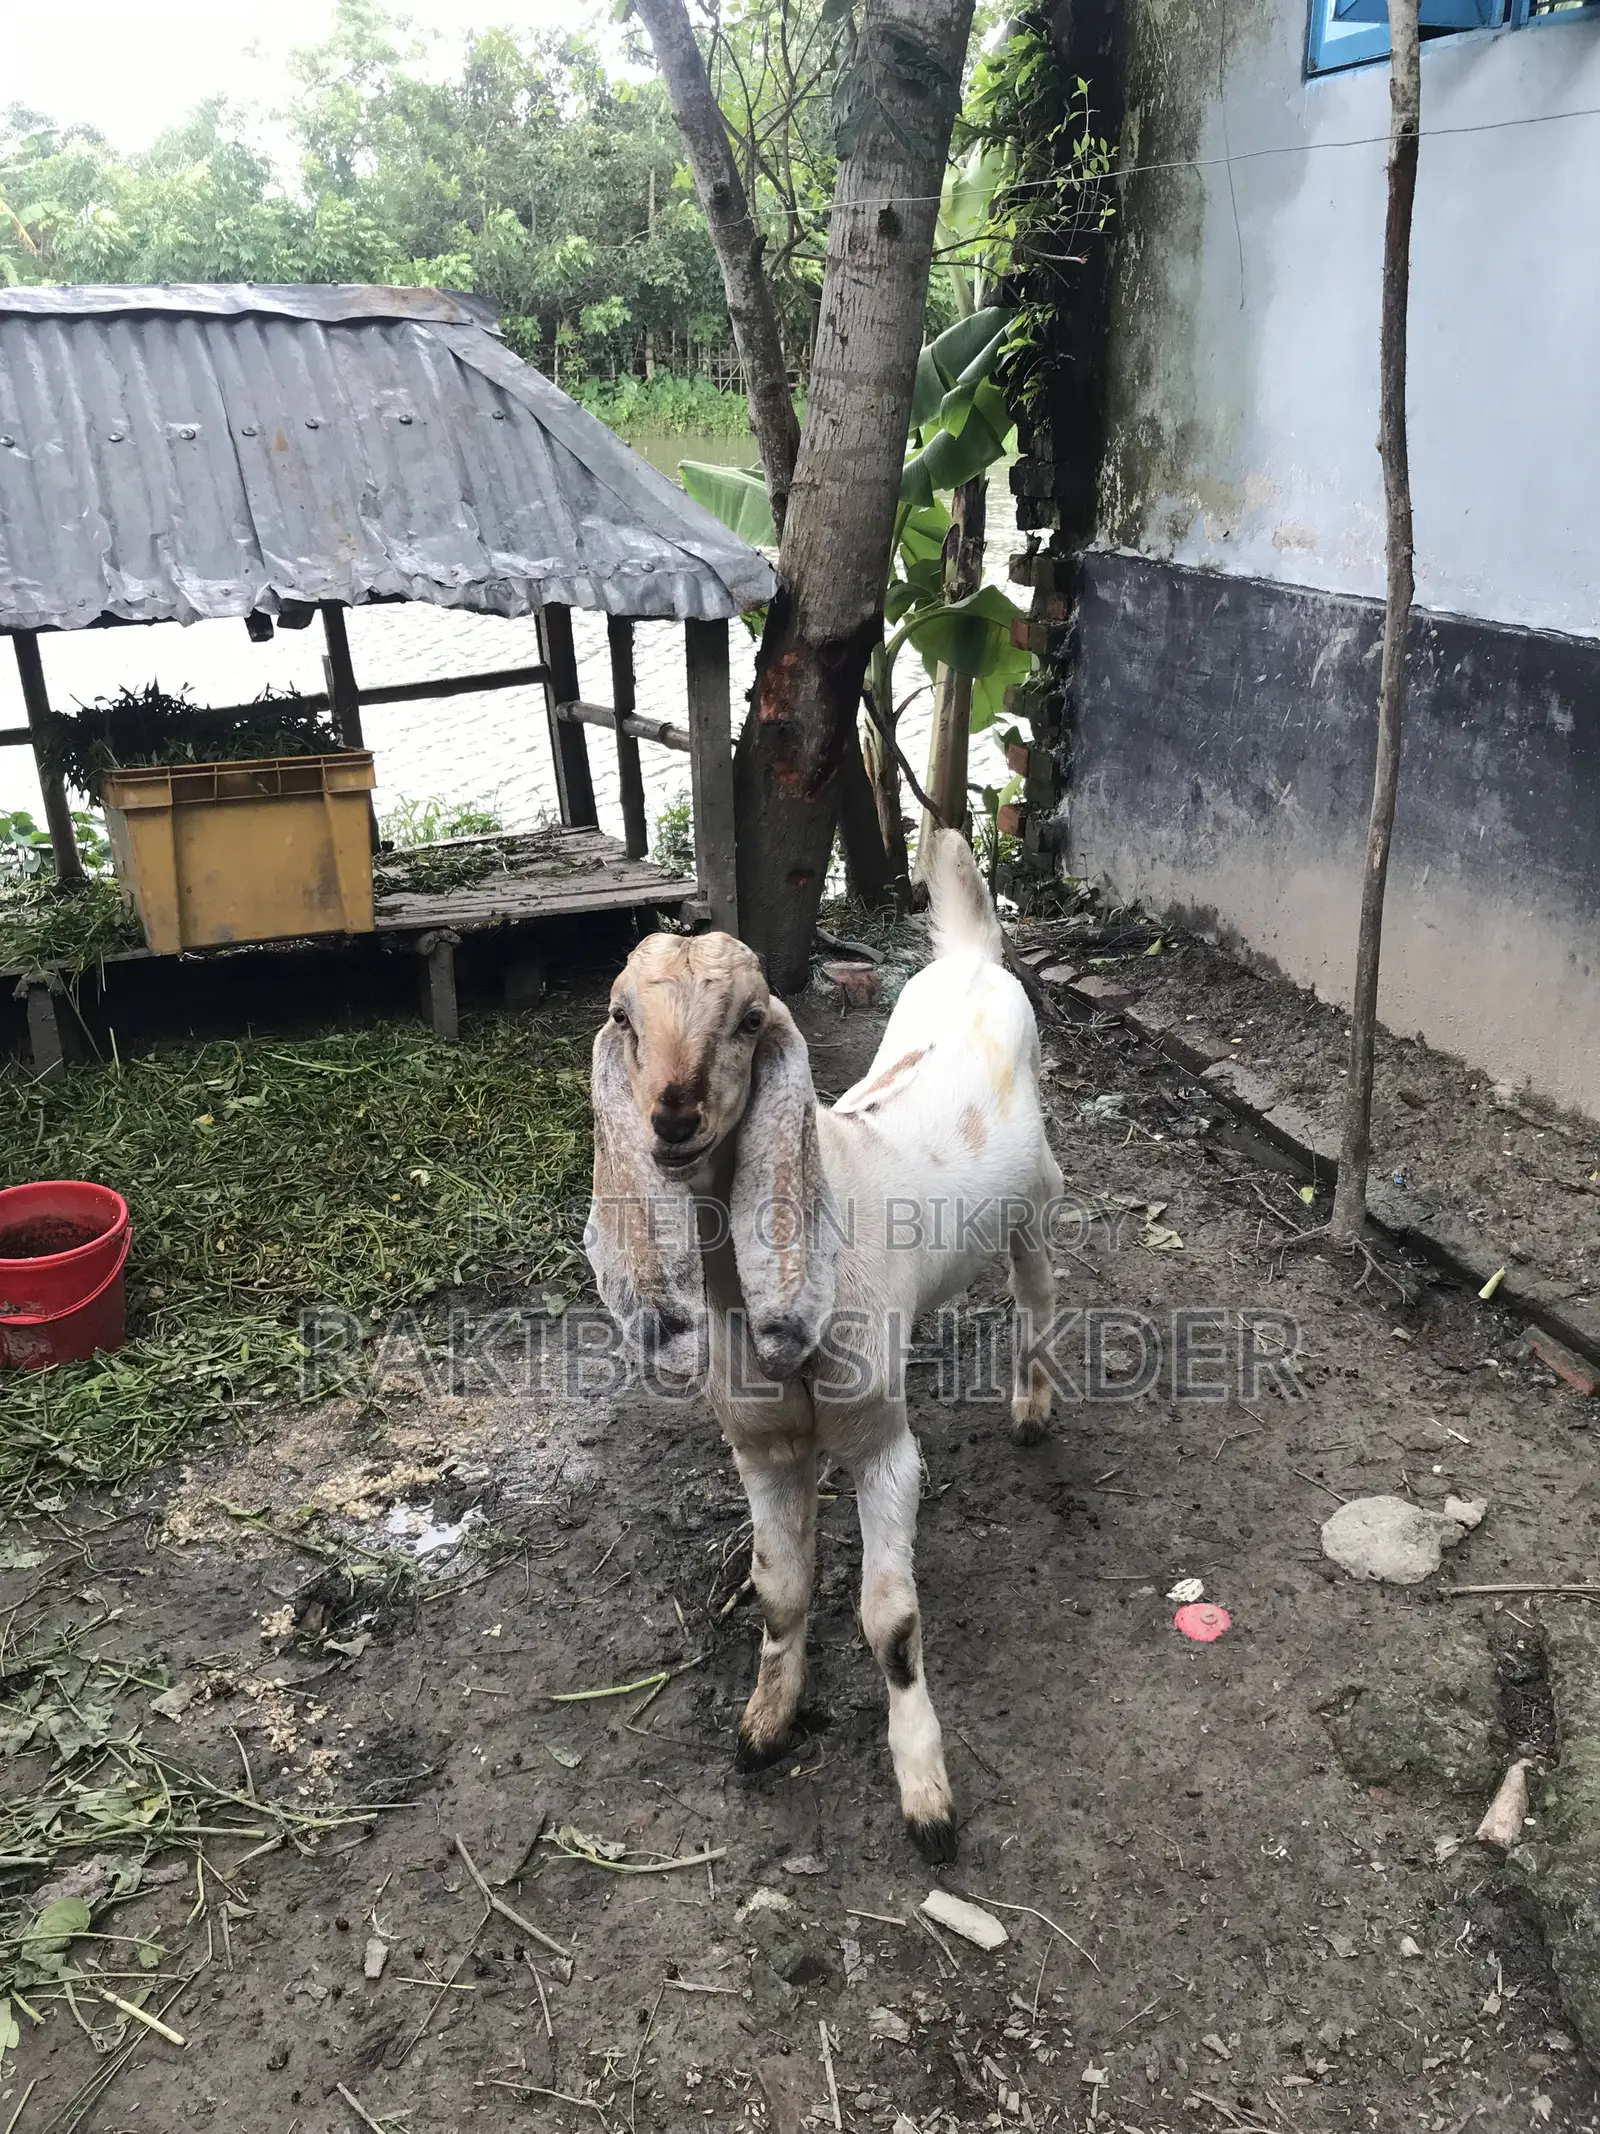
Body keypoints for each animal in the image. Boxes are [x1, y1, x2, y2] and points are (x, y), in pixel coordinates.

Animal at [585, 829, 1062, 1860]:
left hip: (1041, 1197)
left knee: (1037, 1296)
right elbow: (780, 1591)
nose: (672, 1118)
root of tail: (974, 957)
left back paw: (1034, 1407)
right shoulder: (762, 1447)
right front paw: (766, 1724)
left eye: (749, 1018)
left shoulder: (880, 1444)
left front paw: (926, 1794)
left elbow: (892, 1622)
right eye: (622, 1016)